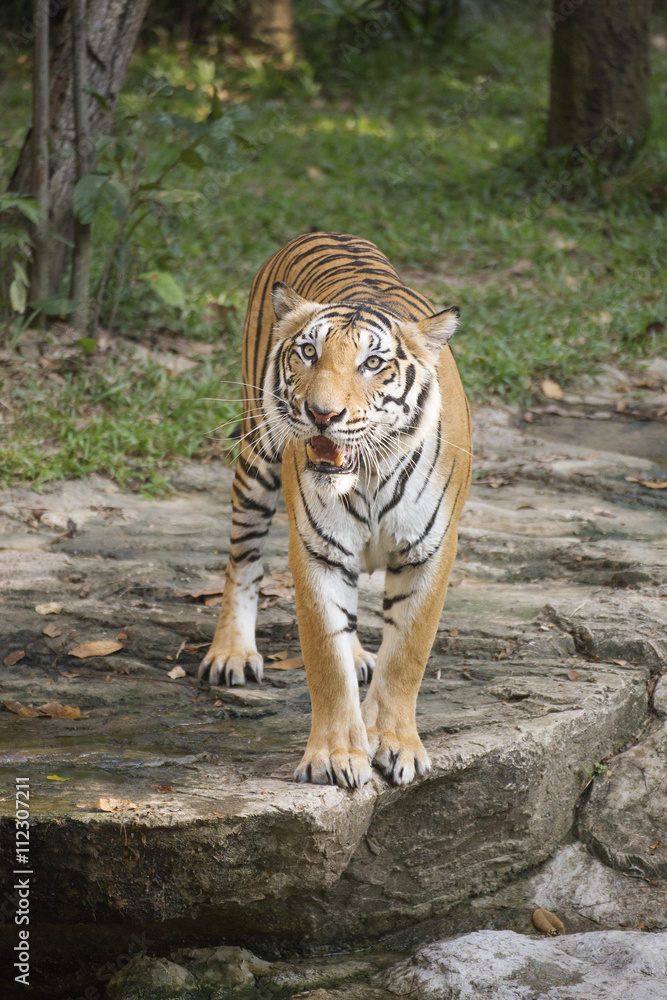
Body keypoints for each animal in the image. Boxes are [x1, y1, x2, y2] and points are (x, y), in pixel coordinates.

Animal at [199, 232, 472, 788]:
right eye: (309, 352)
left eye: (373, 364)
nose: (322, 414)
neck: (368, 477)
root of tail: (325, 232)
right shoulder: (317, 551)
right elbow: (326, 659)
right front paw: (335, 756)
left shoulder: (431, 551)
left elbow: (406, 654)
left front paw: (393, 742)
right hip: (256, 456)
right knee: (243, 559)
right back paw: (231, 653)